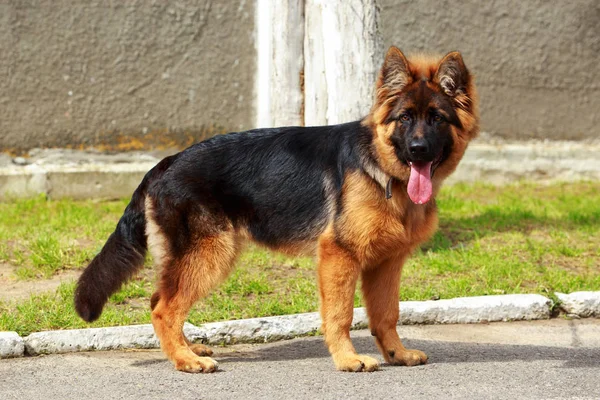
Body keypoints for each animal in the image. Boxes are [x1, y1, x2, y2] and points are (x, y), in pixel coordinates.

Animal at [75, 47, 478, 372]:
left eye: (437, 118)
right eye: (405, 118)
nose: (418, 150)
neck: (380, 168)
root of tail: (167, 162)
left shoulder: (386, 262)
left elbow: (387, 314)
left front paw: (396, 354)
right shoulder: (339, 256)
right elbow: (341, 314)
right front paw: (347, 359)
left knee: (163, 300)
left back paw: (186, 350)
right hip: (209, 255)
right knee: (162, 308)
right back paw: (185, 360)